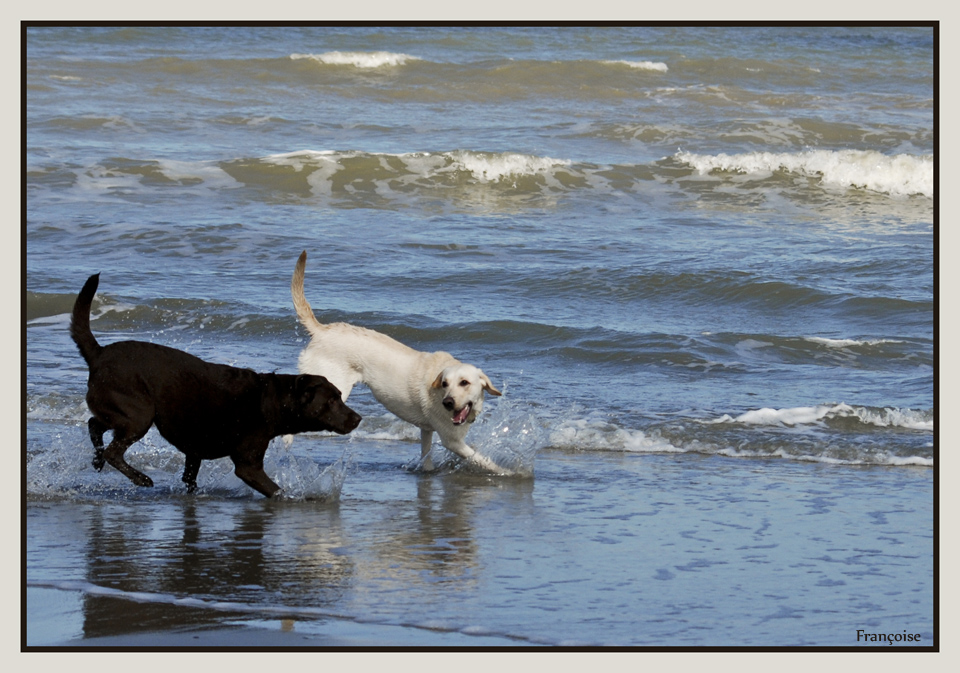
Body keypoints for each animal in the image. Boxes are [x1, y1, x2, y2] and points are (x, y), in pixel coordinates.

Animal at [71, 270, 362, 496]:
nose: (358, 418)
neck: (273, 400)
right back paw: (140, 478)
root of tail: (98, 353)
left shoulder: (194, 452)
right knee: (112, 451)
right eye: (332, 400)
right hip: (139, 415)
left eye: (340, 395)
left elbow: (190, 478)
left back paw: (97, 461)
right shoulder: (248, 465)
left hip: (121, 411)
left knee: (95, 425)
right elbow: (276, 491)